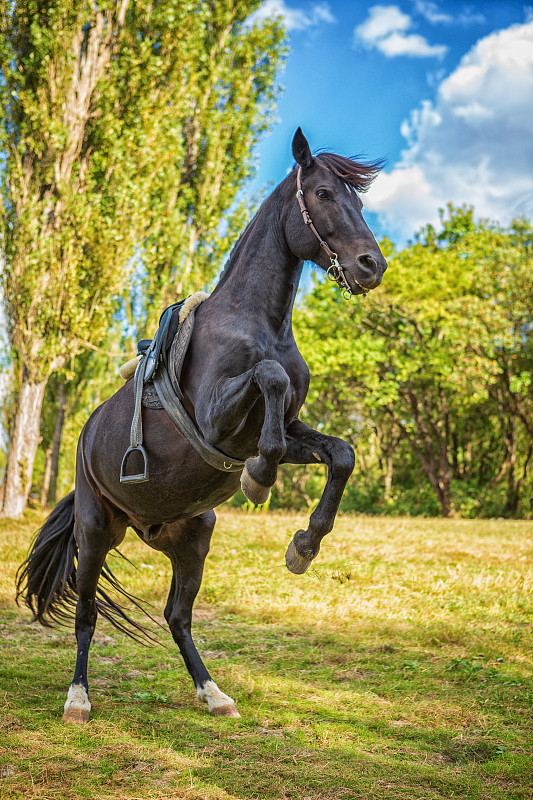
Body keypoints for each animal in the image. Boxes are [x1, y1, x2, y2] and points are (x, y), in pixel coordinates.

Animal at [15, 128, 382, 720]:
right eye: (324, 194)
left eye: (361, 203)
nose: (372, 265)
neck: (257, 325)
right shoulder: (217, 424)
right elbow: (270, 377)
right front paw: (259, 479)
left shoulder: (279, 433)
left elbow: (341, 454)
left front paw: (304, 545)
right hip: (94, 533)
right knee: (87, 616)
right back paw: (78, 699)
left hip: (191, 539)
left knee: (177, 617)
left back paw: (214, 694)